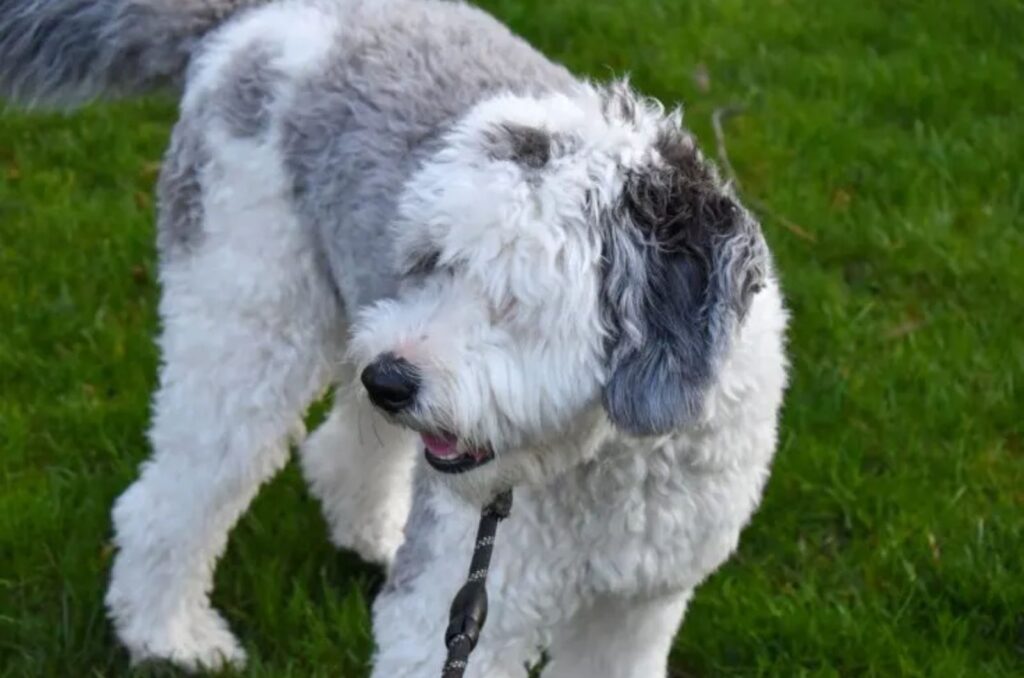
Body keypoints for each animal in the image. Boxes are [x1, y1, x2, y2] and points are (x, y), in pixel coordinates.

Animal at [0, 0, 786, 675]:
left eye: (514, 297)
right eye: (432, 260)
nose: (392, 381)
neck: (619, 460)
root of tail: (257, 18)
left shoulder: (636, 609)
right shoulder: (455, 605)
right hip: (250, 318)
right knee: (180, 487)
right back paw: (169, 636)